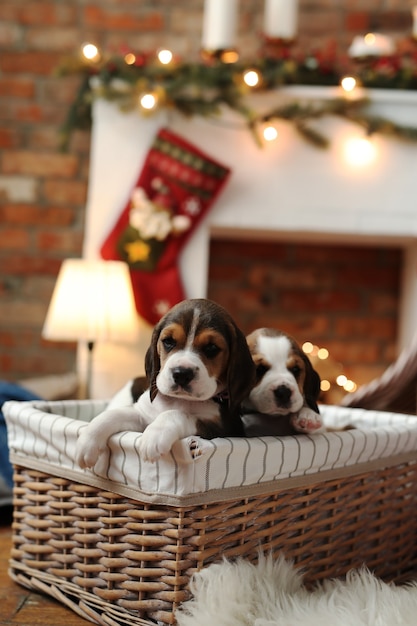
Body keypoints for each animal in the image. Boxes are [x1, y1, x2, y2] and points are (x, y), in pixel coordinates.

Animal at [76, 298, 255, 464]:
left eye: (211, 348)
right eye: (168, 341)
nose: (181, 374)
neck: (180, 400)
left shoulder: (222, 429)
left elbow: (176, 414)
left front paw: (154, 435)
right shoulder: (142, 413)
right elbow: (112, 415)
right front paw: (87, 441)